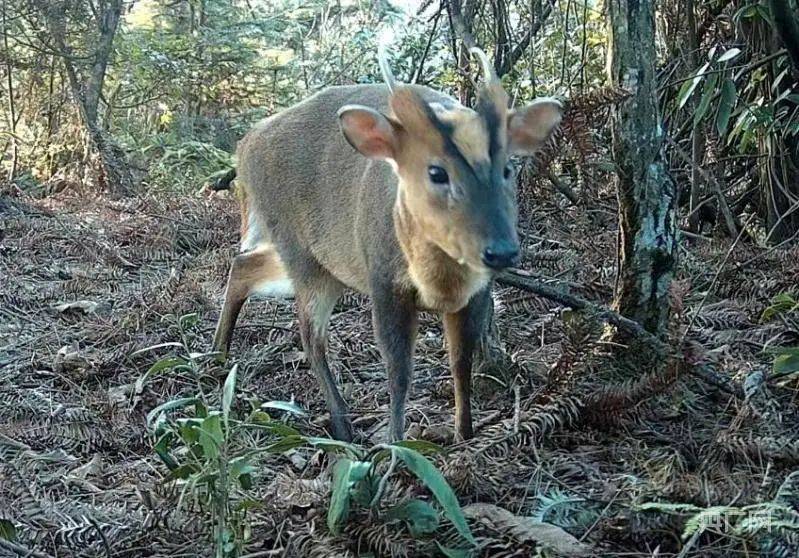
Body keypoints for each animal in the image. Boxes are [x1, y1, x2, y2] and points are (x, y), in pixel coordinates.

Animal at [212, 46, 564, 444]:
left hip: (325, 261)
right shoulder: (384, 280)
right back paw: (343, 426)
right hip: (298, 247)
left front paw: (465, 434)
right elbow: (398, 371)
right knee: (309, 336)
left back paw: (217, 356)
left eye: (507, 168)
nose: (501, 250)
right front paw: (397, 443)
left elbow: (461, 362)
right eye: (436, 172)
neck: (440, 282)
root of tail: (244, 147)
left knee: (244, 263)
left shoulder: (477, 290)